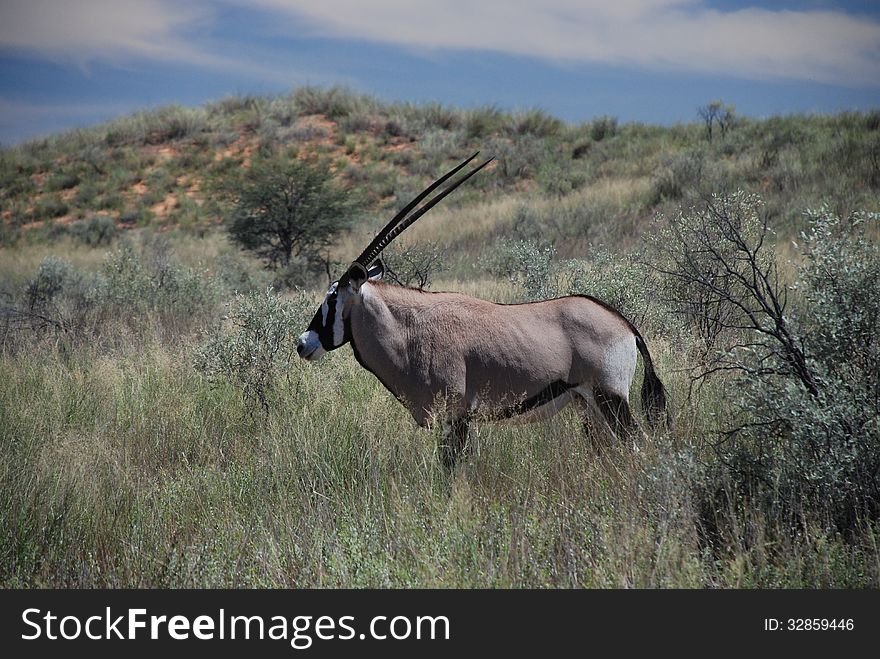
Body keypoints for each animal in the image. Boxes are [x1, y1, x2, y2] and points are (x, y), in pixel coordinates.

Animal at [296, 152, 668, 472]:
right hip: (587, 404)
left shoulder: (457, 416)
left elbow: (452, 470)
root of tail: (624, 325)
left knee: (637, 446)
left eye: (332, 298)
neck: (410, 329)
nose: (303, 343)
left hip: (611, 398)